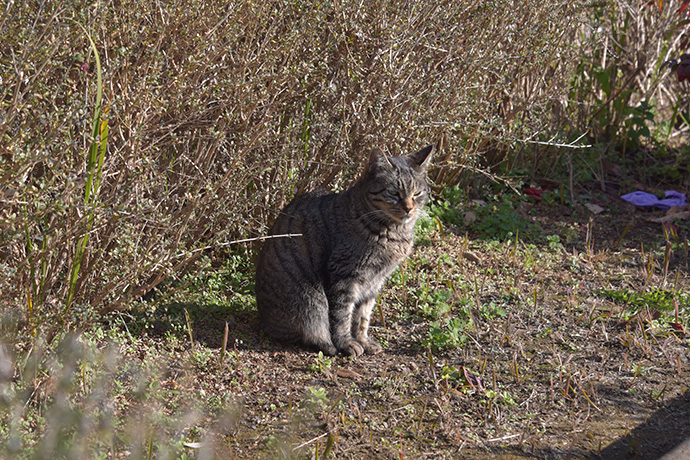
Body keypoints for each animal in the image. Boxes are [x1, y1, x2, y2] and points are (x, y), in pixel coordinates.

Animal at [255, 146, 432, 358]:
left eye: (417, 193)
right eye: (393, 192)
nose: (408, 208)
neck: (393, 233)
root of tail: (263, 321)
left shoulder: (374, 282)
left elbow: (362, 316)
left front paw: (363, 341)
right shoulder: (344, 277)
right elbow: (342, 315)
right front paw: (347, 343)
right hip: (310, 298)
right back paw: (327, 344)